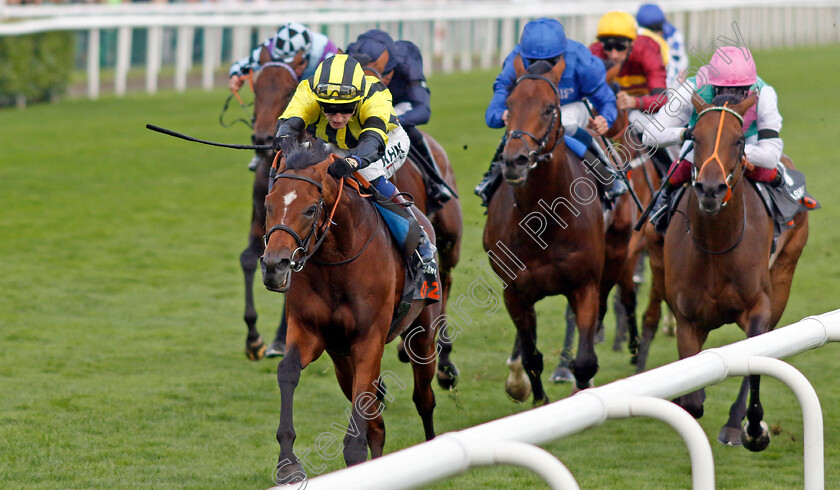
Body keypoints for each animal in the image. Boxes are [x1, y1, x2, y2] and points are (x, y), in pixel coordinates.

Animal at [264, 139, 442, 482]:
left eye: (310, 209)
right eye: (267, 205)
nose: (273, 267)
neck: (336, 261)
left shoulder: (369, 339)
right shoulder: (309, 331)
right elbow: (288, 371)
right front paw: (288, 462)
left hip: (422, 334)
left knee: (423, 398)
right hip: (340, 361)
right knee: (376, 421)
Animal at [482, 57, 632, 402]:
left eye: (550, 108)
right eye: (509, 105)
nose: (515, 160)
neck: (544, 220)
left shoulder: (585, 284)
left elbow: (586, 360)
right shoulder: (515, 292)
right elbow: (531, 357)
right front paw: (529, 391)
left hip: (616, 254)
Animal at [656, 94, 808, 450]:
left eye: (738, 140)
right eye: (694, 137)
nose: (710, 190)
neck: (717, 246)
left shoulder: (759, 307)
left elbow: (755, 361)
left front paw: (753, 428)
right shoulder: (688, 321)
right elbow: (693, 401)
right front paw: (684, 398)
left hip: (783, 275)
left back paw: (737, 426)